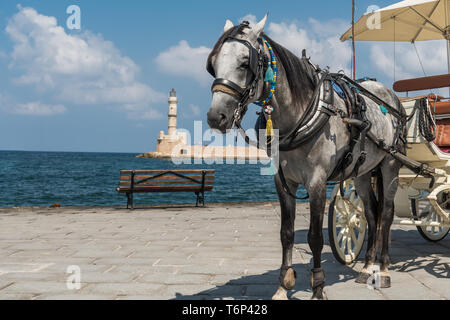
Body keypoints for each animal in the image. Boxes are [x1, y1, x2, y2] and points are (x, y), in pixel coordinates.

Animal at [207, 15, 404, 300]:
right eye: (213, 65)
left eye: (245, 62)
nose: (216, 117)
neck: (301, 115)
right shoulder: (283, 181)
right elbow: (287, 233)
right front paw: (283, 285)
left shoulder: (317, 182)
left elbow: (314, 238)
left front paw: (318, 288)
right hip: (363, 170)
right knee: (371, 211)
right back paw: (367, 267)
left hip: (390, 164)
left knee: (386, 212)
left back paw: (384, 269)